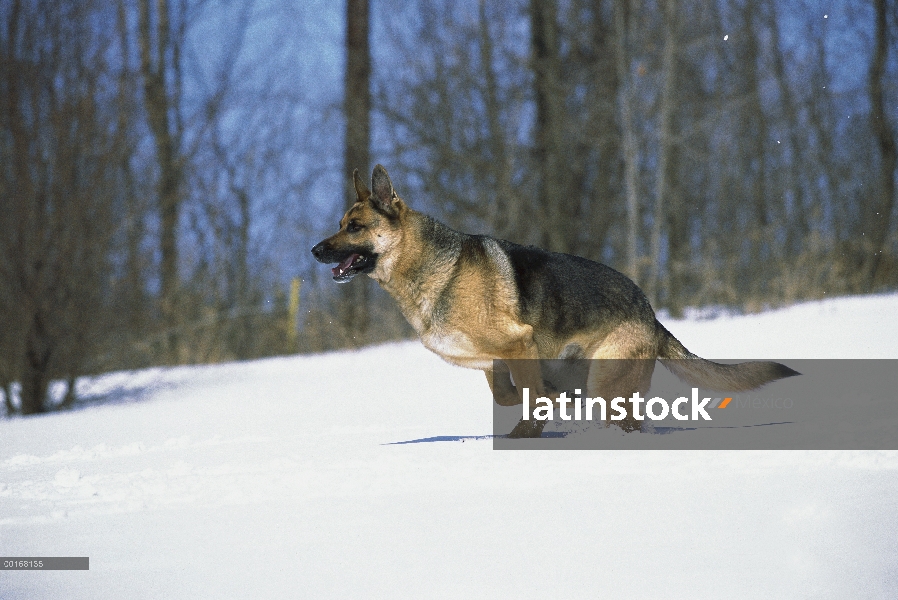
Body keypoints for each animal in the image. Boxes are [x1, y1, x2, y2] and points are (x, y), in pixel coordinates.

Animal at [312, 166, 796, 438]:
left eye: (354, 226)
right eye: (339, 223)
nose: (314, 251)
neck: (430, 266)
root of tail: (651, 314)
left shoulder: (519, 343)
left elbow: (527, 396)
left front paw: (528, 432)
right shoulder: (497, 361)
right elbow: (511, 394)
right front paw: (544, 408)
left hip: (607, 383)